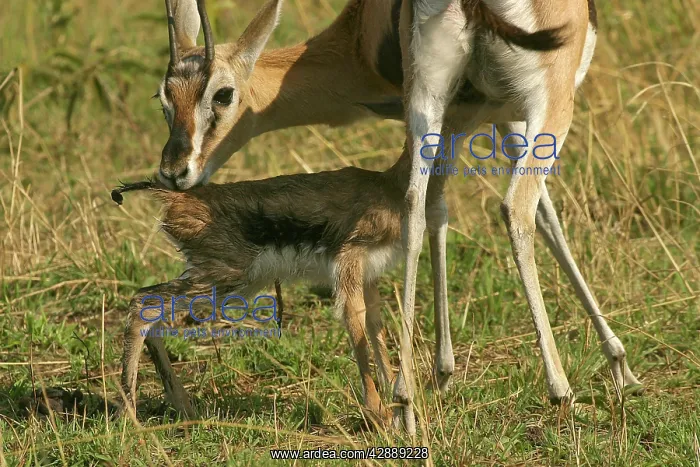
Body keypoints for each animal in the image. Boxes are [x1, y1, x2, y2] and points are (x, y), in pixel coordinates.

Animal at [149, 0, 643, 433]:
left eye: (222, 94)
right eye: (165, 100)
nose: (174, 171)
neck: (360, 39)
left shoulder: (469, 116)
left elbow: (449, 211)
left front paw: (441, 373)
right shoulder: (495, 115)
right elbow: (538, 215)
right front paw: (621, 365)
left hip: (429, 103)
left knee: (415, 205)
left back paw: (405, 402)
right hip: (544, 105)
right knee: (513, 208)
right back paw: (560, 391)